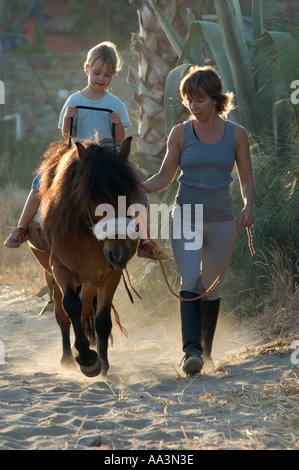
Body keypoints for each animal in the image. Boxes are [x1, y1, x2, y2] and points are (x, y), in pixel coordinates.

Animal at [28, 137, 141, 378]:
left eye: (129, 196)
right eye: (95, 197)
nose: (119, 253)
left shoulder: (111, 274)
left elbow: (102, 320)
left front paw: (101, 364)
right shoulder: (60, 269)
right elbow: (70, 306)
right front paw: (87, 359)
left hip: (89, 281)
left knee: (86, 309)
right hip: (51, 276)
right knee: (63, 314)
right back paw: (68, 358)